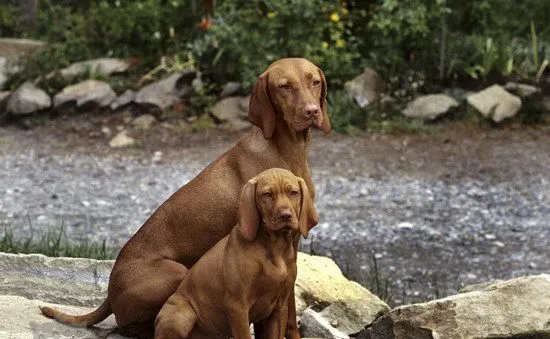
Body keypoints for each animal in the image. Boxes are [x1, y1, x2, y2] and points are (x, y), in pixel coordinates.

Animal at [155, 169, 320, 339]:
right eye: (267, 194)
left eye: (293, 193)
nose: (285, 215)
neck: (275, 248)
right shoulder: (237, 306)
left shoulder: (279, 307)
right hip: (181, 315)